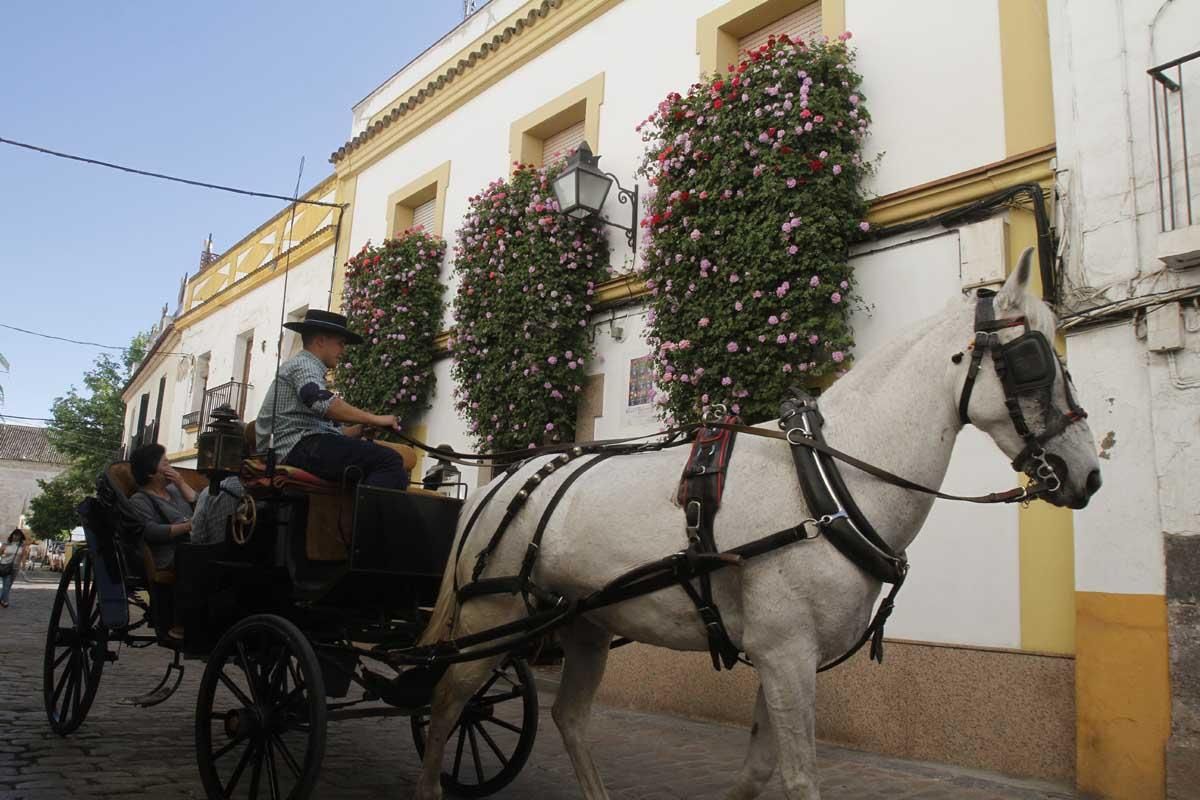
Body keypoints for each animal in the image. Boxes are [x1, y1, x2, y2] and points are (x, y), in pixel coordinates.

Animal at [415, 250, 1104, 800]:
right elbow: (800, 777)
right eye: (1035, 360)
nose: (1089, 475)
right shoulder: (786, 653)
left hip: (585, 624)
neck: (825, 483)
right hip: (492, 619)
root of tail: (502, 480)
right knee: (446, 705)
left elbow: (759, 770)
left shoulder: (786, 657)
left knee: (570, 718)